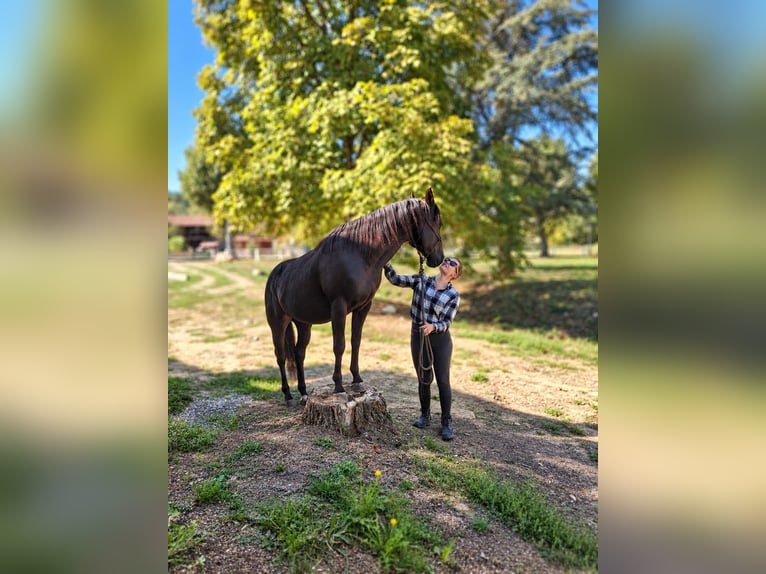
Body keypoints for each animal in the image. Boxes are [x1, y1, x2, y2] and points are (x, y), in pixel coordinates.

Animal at [265, 188, 445, 404]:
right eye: (438, 222)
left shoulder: (363, 307)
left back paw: (304, 393)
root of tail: (276, 273)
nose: (439, 259)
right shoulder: (339, 307)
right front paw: (339, 387)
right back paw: (288, 395)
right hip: (278, 323)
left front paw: (357, 380)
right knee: (281, 356)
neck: (358, 255)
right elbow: (339, 345)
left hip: (303, 323)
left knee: (299, 353)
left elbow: (356, 341)